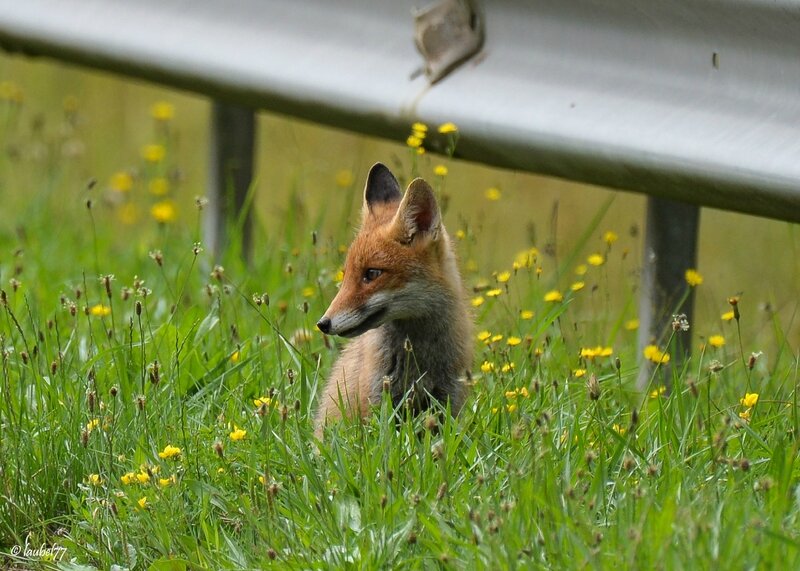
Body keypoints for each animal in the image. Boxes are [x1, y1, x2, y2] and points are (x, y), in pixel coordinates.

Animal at [314, 163, 476, 436]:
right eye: (346, 275)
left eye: (372, 274)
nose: (323, 324)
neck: (419, 361)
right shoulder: (379, 402)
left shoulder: (448, 400)